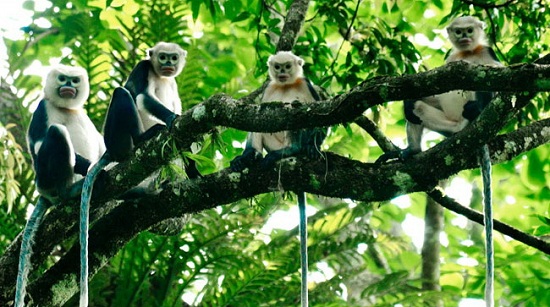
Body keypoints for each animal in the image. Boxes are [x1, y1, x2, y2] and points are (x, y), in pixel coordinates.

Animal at [16, 65, 104, 307]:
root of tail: (43, 193)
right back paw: (69, 190)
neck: (67, 108)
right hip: (45, 179)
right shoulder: (42, 108)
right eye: (63, 79)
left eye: (74, 80)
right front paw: (92, 165)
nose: (68, 86)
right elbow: (39, 144)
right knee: (57, 132)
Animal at [81, 42, 202, 306]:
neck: (161, 76)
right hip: (115, 136)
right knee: (122, 93)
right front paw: (171, 118)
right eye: (163, 57)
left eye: (173, 58)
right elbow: (143, 97)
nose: (168, 64)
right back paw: (142, 138)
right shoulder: (143, 67)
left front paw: (194, 170)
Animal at [230, 51, 328, 307]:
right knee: (261, 120)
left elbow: (321, 118)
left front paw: (314, 148)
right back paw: (249, 158)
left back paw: (293, 150)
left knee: (296, 111)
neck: (286, 85)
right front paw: (246, 156)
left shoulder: (307, 84)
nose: (282, 72)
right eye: (277, 67)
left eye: (287, 66)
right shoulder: (269, 88)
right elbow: (256, 116)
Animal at [380, 16, 500, 307]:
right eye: (459, 32)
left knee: (479, 91)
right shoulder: (450, 58)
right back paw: (412, 149)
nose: (465, 36)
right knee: (416, 107)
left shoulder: (488, 54)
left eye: (470, 30)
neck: (466, 53)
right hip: (445, 124)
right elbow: (425, 91)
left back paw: (475, 111)